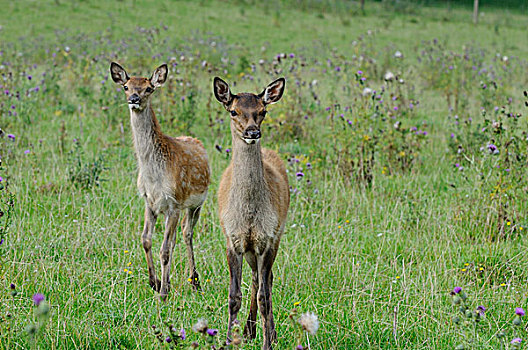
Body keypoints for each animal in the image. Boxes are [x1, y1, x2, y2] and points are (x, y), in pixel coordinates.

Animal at [110, 61, 209, 300]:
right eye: (125, 86)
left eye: (149, 88)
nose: (134, 98)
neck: (153, 175)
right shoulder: (150, 202)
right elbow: (146, 240)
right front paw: (155, 282)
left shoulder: (173, 201)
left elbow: (164, 249)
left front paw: (162, 293)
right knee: (174, 240)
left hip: (195, 203)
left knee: (186, 234)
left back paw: (195, 281)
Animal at [212, 77, 290, 350]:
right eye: (234, 111)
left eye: (263, 111)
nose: (252, 132)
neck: (248, 216)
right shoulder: (232, 240)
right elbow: (233, 296)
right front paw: (228, 340)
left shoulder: (267, 239)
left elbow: (264, 296)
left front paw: (268, 343)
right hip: (249, 250)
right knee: (257, 278)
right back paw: (248, 330)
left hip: (275, 236)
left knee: (266, 281)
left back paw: (267, 332)